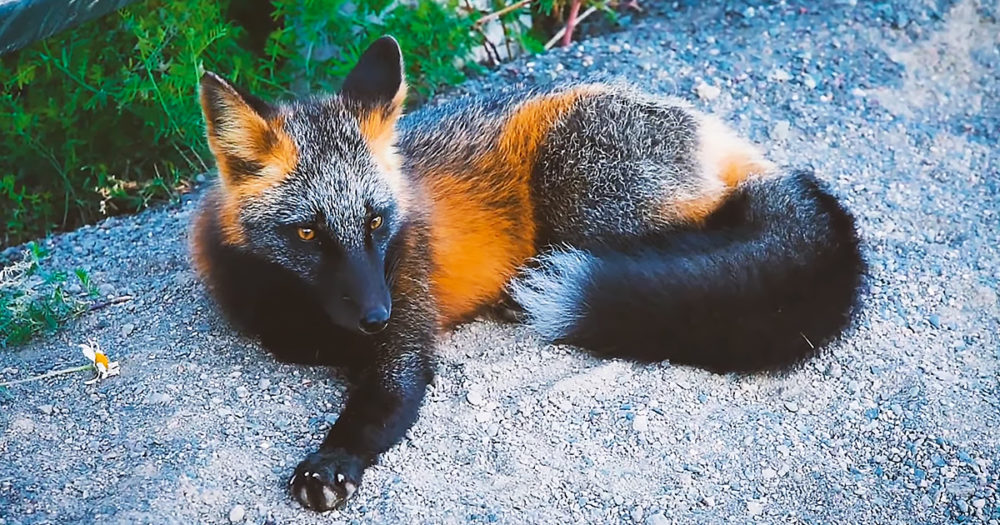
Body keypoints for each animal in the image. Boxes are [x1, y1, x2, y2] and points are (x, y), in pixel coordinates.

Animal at [190, 36, 863, 511]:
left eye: (376, 221)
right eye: (308, 233)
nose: (376, 316)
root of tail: (717, 134)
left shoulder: (407, 330)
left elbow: (380, 403)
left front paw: (332, 460)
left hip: (578, 191)